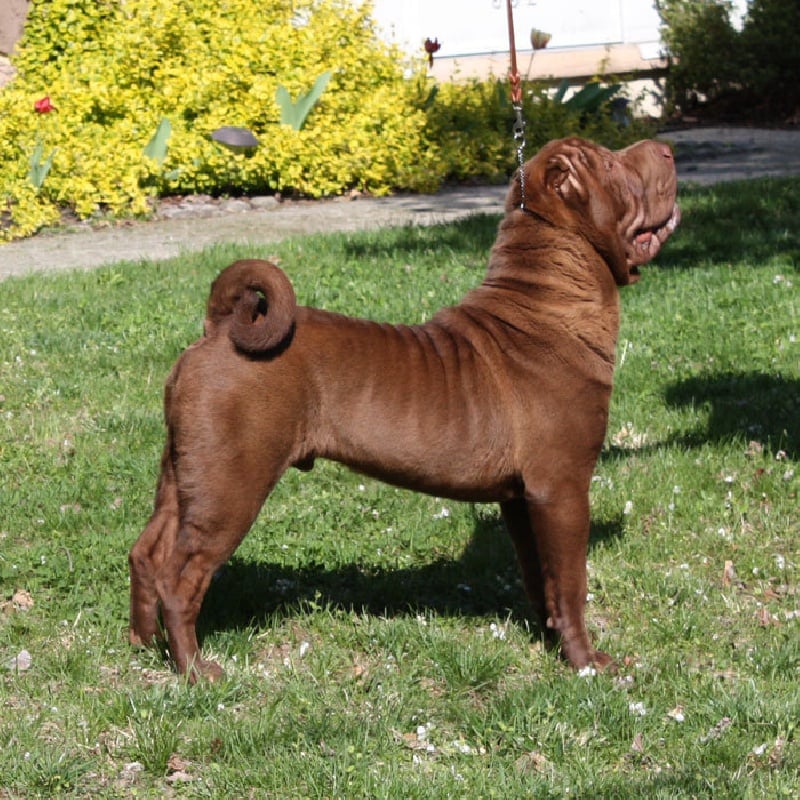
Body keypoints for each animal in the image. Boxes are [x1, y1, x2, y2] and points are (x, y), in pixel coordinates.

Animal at [129, 137, 680, 680]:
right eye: (611, 164)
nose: (665, 148)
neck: (549, 301)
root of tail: (221, 328)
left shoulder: (522, 499)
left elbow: (539, 577)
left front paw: (550, 640)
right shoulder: (561, 489)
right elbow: (570, 583)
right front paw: (586, 663)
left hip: (186, 476)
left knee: (147, 553)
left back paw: (143, 645)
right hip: (231, 485)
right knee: (182, 576)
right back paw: (195, 670)